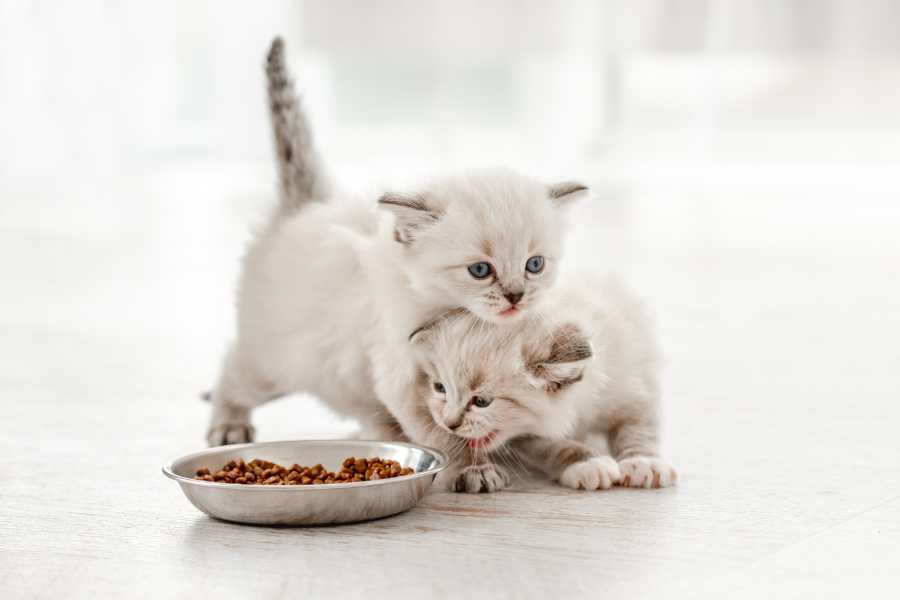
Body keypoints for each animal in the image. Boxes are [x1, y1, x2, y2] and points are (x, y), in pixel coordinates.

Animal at [206, 38, 589, 458]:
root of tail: (306, 205)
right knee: (233, 370)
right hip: (274, 359)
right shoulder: (399, 374)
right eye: (480, 270)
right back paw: (227, 425)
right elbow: (438, 432)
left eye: (534, 264)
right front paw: (465, 463)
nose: (516, 296)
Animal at [404, 273, 677, 492]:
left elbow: (639, 428)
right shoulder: (525, 437)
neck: (582, 406)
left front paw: (644, 462)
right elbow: (552, 446)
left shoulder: (635, 386)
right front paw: (587, 462)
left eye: (481, 402)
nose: (448, 424)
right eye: (440, 388)